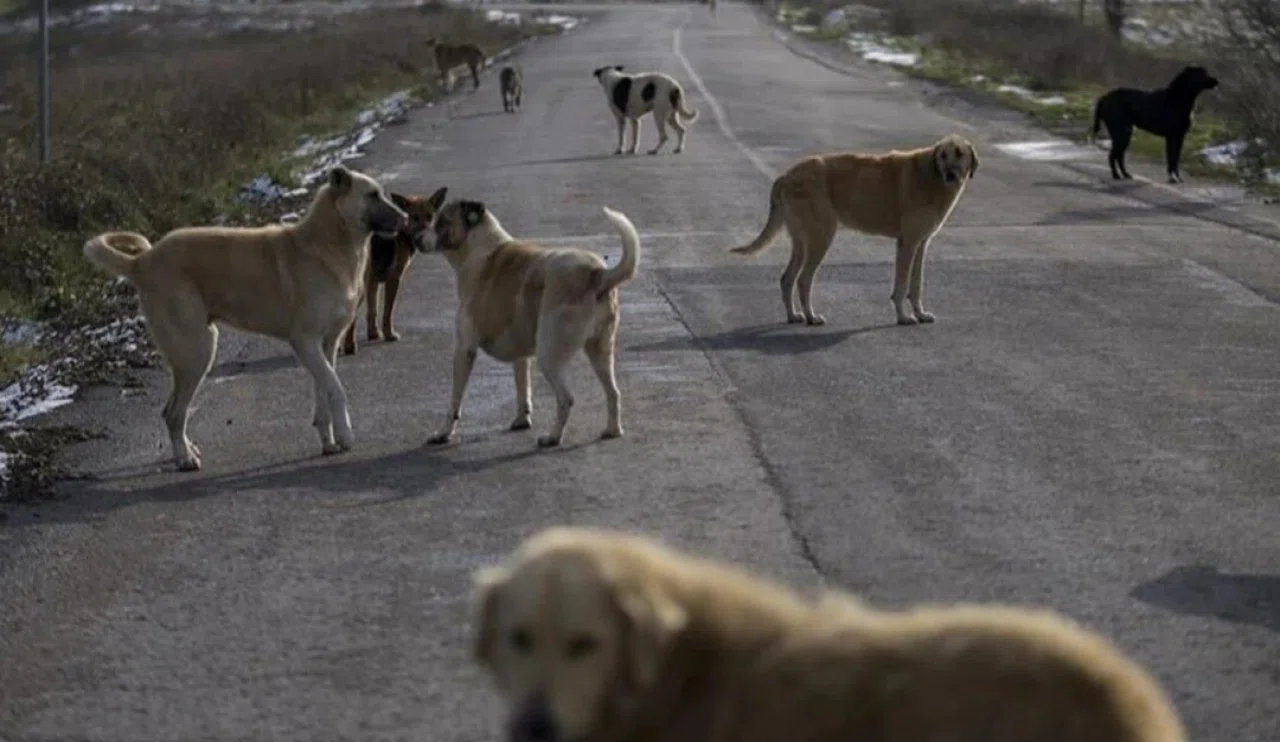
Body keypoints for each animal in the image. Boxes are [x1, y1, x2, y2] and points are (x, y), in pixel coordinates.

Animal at [81, 166, 408, 472]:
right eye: (372, 195)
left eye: (383, 193)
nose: (405, 219)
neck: (328, 243)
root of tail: (141, 262)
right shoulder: (305, 342)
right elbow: (336, 388)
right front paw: (346, 435)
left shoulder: (326, 345)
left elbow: (324, 391)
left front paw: (329, 441)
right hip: (197, 351)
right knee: (173, 413)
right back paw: (185, 458)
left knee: (172, 411)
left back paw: (187, 450)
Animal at [340, 188, 448, 355]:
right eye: (414, 217)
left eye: (430, 216)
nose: (424, 236)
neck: (403, 233)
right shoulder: (393, 279)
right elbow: (387, 312)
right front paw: (389, 334)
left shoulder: (373, 283)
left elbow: (372, 311)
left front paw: (374, 333)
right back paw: (350, 346)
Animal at [413, 199, 640, 448]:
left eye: (442, 221)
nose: (415, 239)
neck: (478, 247)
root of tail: (597, 273)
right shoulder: (520, 353)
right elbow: (522, 385)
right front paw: (522, 419)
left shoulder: (464, 350)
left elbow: (455, 400)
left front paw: (444, 432)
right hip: (600, 350)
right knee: (613, 392)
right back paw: (612, 430)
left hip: (549, 354)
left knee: (566, 399)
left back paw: (553, 437)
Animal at [729, 134, 978, 327]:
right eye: (943, 155)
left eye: (959, 153)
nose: (950, 175)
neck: (931, 176)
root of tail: (786, 176)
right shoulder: (908, 243)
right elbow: (901, 285)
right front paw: (903, 317)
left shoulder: (920, 244)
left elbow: (916, 285)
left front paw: (920, 313)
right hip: (821, 237)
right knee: (803, 279)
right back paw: (811, 317)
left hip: (802, 241)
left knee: (787, 278)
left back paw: (793, 316)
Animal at [1090, 65, 1219, 183]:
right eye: (1201, 74)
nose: (1216, 80)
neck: (1178, 98)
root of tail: (1103, 98)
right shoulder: (1172, 137)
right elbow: (1171, 159)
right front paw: (1173, 178)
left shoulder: (1179, 137)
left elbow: (1175, 159)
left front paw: (1177, 177)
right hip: (1122, 133)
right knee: (1113, 155)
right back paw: (1116, 175)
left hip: (1125, 133)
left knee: (1119, 156)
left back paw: (1125, 174)